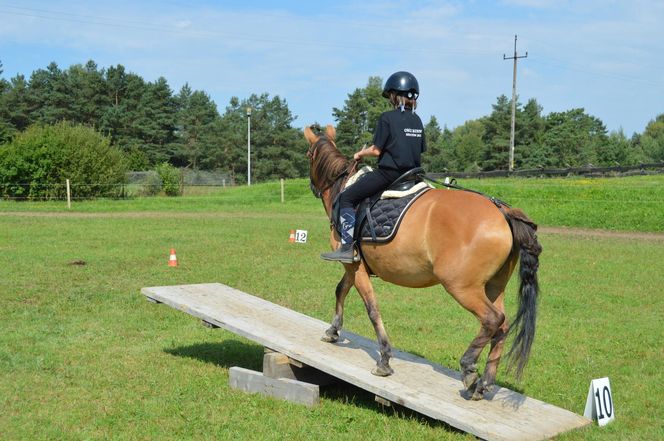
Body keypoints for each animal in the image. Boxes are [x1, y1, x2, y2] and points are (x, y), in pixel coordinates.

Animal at [304, 123, 544, 398]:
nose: (312, 187)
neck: (344, 186)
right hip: (494, 286)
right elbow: (341, 290)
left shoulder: (352, 264)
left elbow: (372, 308)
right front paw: (333, 331)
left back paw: (469, 369)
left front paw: (384, 359)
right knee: (501, 326)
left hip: (461, 287)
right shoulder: (355, 265)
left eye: (308, 154)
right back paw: (485, 382)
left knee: (492, 320)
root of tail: (502, 212)